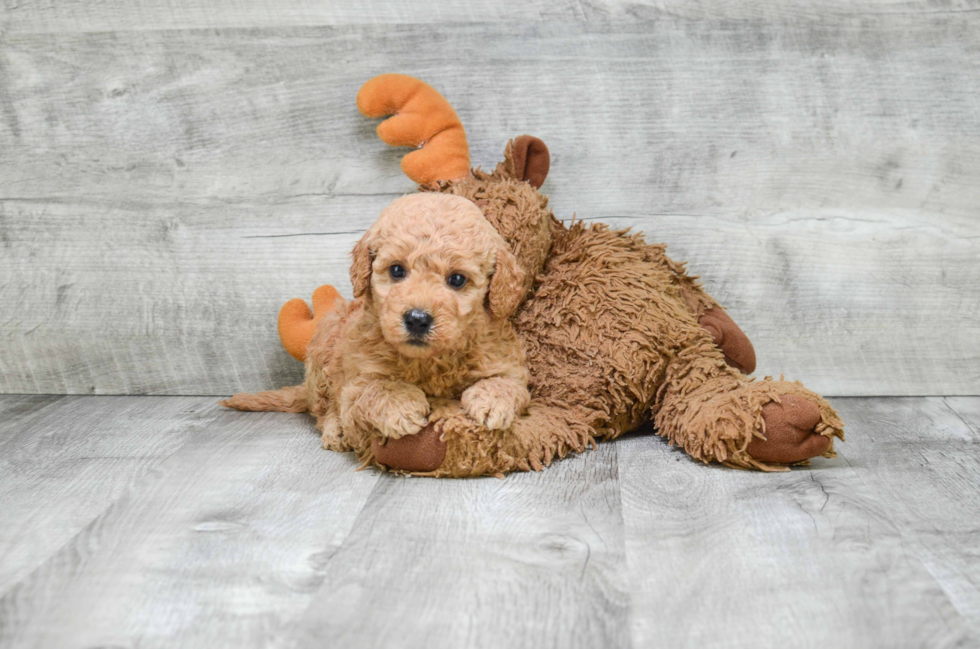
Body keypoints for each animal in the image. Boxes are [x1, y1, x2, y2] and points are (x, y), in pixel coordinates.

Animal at [222, 192, 532, 456]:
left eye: (457, 279)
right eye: (396, 270)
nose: (417, 319)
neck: (429, 362)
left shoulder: (506, 361)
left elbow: (508, 383)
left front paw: (491, 401)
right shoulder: (357, 379)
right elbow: (377, 389)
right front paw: (402, 406)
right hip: (325, 345)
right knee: (324, 409)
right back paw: (336, 430)